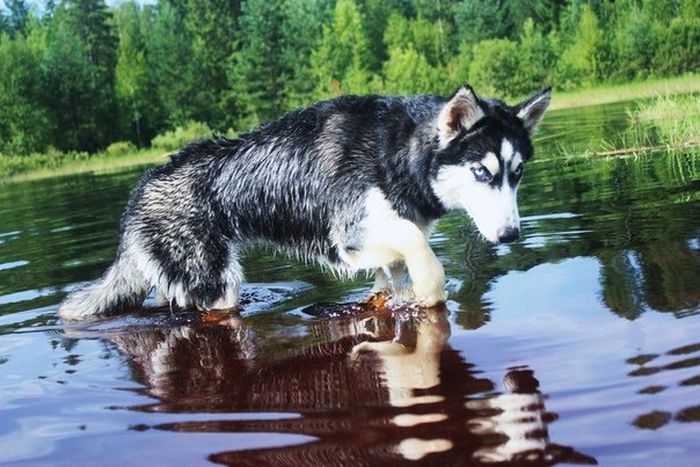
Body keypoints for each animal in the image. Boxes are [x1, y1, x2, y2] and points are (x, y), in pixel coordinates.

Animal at [58, 86, 552, 322]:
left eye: (517, 172)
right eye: (482, 172)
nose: (511, 235)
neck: (394, 151)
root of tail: (140, 190)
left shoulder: (378, 240)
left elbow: (392, 274)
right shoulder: (346, 233)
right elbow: (417, 249)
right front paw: (430, 290)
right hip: (217, 284)